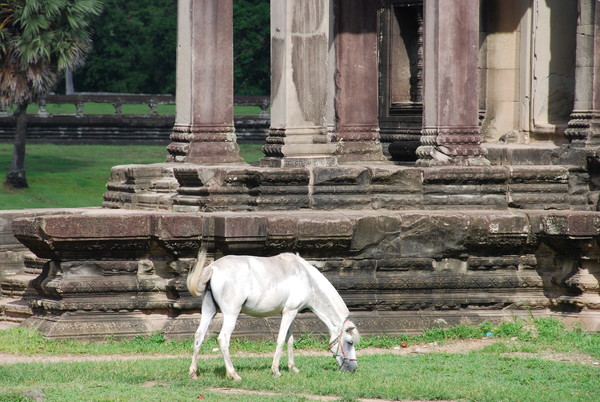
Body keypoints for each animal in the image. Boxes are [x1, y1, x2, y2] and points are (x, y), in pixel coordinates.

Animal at [185, 247, 358, 382]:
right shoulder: (290, 312)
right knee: (223, 339)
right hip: (231, 314)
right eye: (350, 342)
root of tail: (213, 268)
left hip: (209, 311)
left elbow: (290, 340)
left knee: (199, 336)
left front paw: (293, 368)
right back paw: (233, 374)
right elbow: (281, 340)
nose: (354, 368)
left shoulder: (289, 312)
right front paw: (276, 371)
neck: (307, 279)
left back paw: (193, 373)